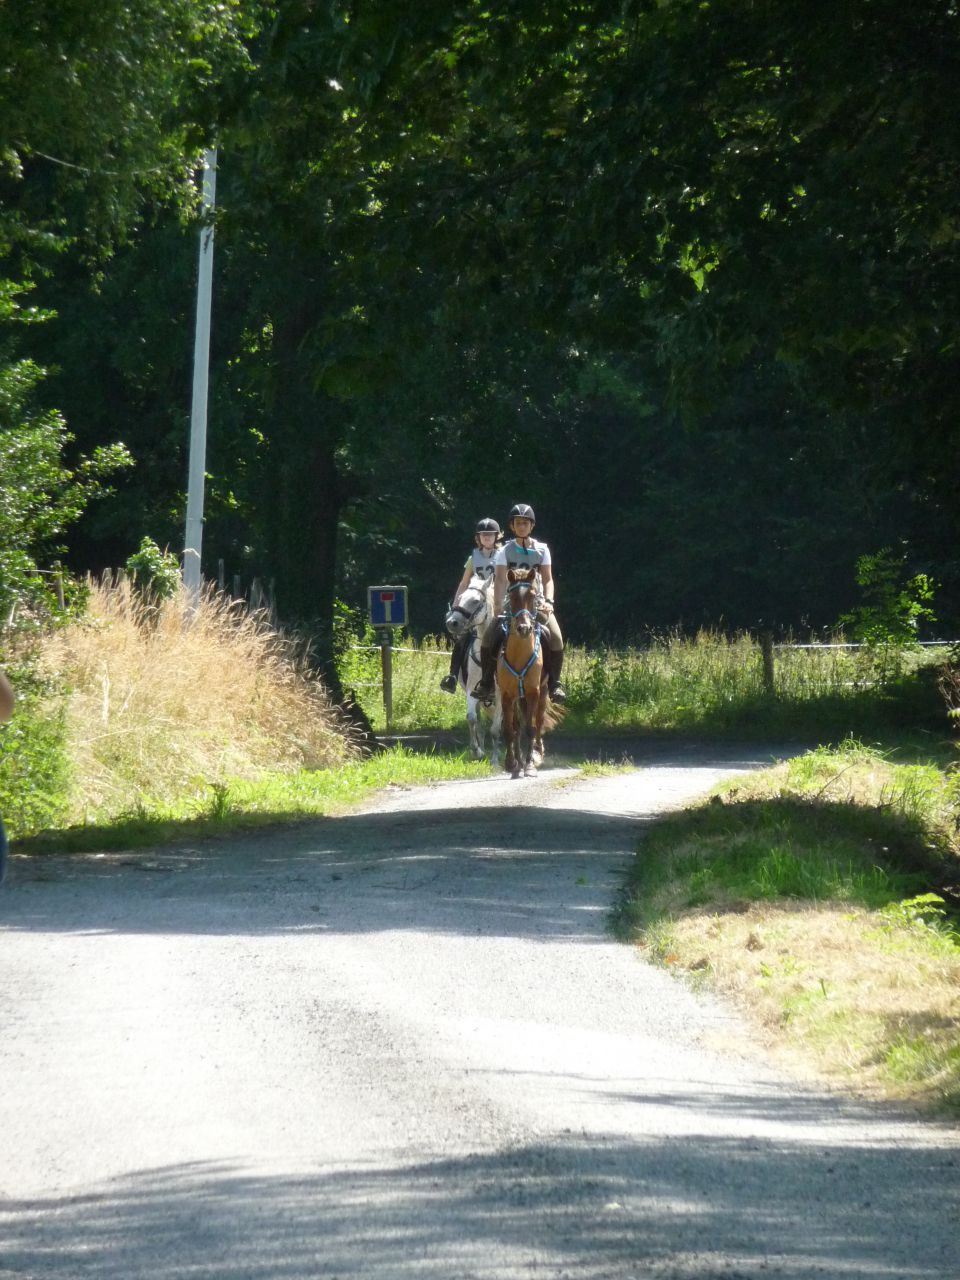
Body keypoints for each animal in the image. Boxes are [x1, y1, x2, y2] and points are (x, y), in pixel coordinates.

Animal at [443, 576, 503, 761]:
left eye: (476, 601)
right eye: (461, 597)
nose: (452, 622)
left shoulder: (502, 695)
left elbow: (496, 729)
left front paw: (495, 760)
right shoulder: (472, 690)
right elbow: (471, 719)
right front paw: (476, 751)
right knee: (480, 723)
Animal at [497, 567, 553, 778]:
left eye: (532, 596)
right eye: (512, 596)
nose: (523, 628)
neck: (520, 653)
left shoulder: (532, 692)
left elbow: (531, 728)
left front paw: (529, 765)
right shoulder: (506, 695)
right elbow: (510, 730)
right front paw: (512, 764)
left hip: (543, 693)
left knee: (538, 722)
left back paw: (538, 753)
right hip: (515, 697)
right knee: (516, 727)